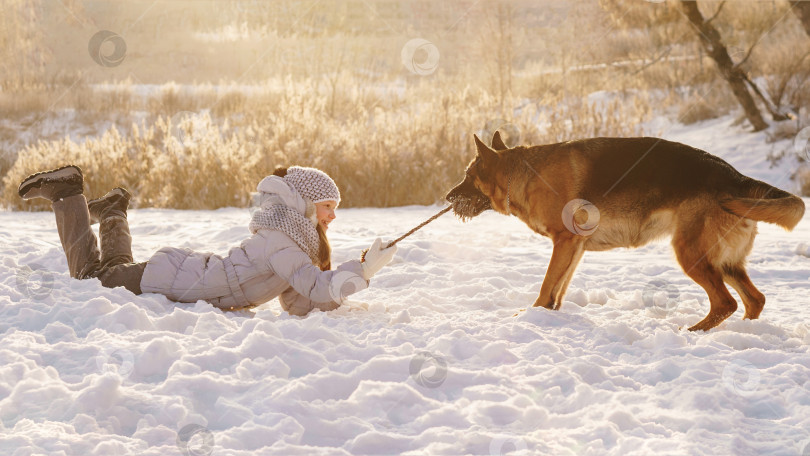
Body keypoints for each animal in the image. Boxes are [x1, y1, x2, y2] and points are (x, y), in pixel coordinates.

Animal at [446, 132, 804, 332]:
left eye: (467, 176)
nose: (447, 197)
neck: (523, 173)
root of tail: (735, 177)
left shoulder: (564, 242)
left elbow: (548, 285)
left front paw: (531, 316)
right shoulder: (574, 247)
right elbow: (558, 289)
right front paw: (549, 316)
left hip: (691, 255)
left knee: (725, 303)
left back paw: (691, 332)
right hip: (724, 262)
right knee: (754, 300)